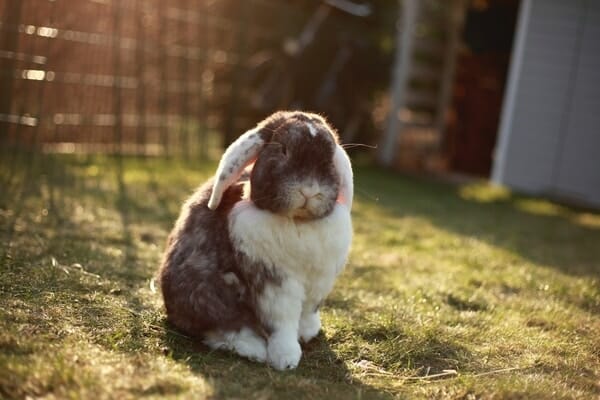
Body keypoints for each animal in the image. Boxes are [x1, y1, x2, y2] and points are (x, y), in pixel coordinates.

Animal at [158, 111, 352, 370]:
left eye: (330, 158)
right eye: (283, 150)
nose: (309, 190)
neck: (298, 222)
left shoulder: (318, 282)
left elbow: (307, 312)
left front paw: (308, 332)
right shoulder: (273, 282)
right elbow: (282, 322)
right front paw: (286, 359)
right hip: (205, 294)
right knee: (223, 329)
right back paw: (254, 349)